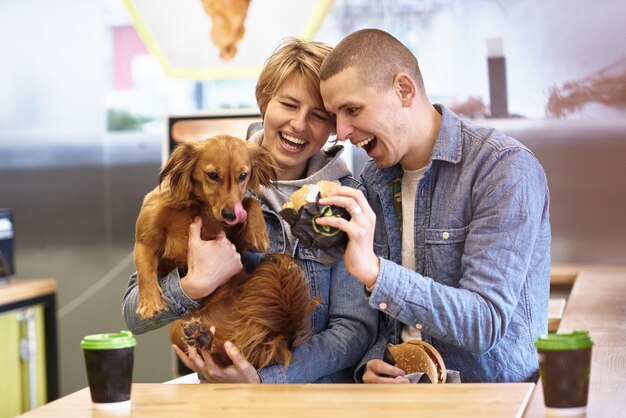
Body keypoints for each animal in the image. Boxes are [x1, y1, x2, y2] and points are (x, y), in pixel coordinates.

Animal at [132, 134, 316, 370]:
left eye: (243, 175)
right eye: (212, 175)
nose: (230, 214)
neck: (197, 205)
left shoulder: (235, 241)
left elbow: (250, 200)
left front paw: (258, 232)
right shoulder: (145, 240)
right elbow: (145, 272)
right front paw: (149, 303)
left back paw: (203, 337)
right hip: (177, 329)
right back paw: (201, 336)